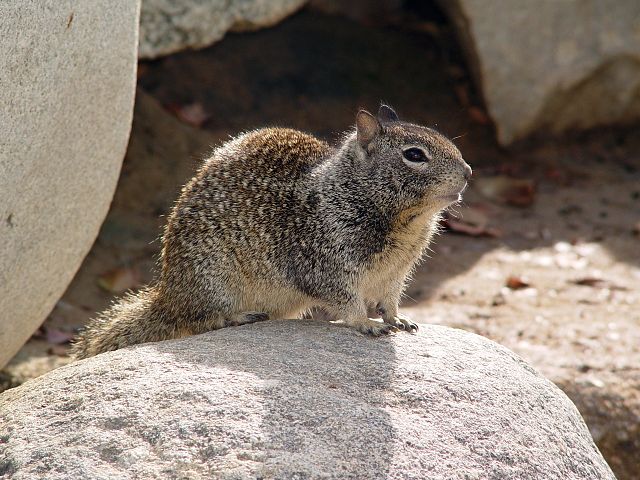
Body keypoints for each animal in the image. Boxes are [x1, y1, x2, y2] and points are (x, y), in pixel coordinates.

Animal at [71, 106, 470, 360]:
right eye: (414, 155)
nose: (468, 172)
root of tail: (167, 297)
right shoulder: (325, 264)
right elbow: (347, 302)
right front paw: (365, 324)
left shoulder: (396, 274)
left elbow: (389, 301)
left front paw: (396, 319)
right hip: (213, 281)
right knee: (199, 321)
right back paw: (239, 317)